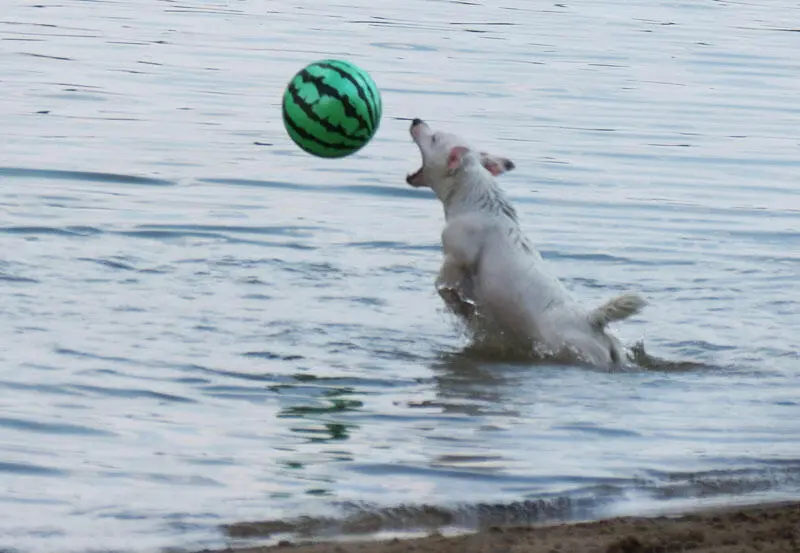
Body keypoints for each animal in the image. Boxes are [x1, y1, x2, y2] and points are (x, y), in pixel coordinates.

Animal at [410, 118, 648, 364]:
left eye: (434, 138)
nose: (416, 120)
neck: (473, 198)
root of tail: (592, 321)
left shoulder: (455, 259)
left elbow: (444, 286)